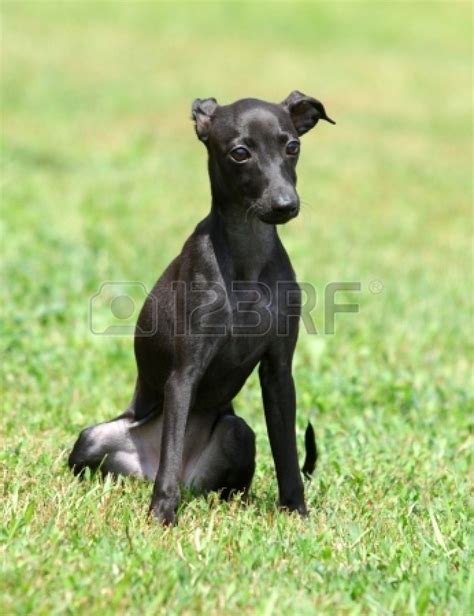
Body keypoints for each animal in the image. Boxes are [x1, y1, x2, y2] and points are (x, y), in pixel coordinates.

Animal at [68, 91, 336, 524]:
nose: (285, 205)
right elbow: (173, 444)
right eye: (240, 153)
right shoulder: (184, 374)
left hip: (238, 433)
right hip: (94, 438)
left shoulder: (279, 372)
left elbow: (288, 456)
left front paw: (296, 512)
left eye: (293, 147)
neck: (247, 259)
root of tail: (145, 470)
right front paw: (161, 516)